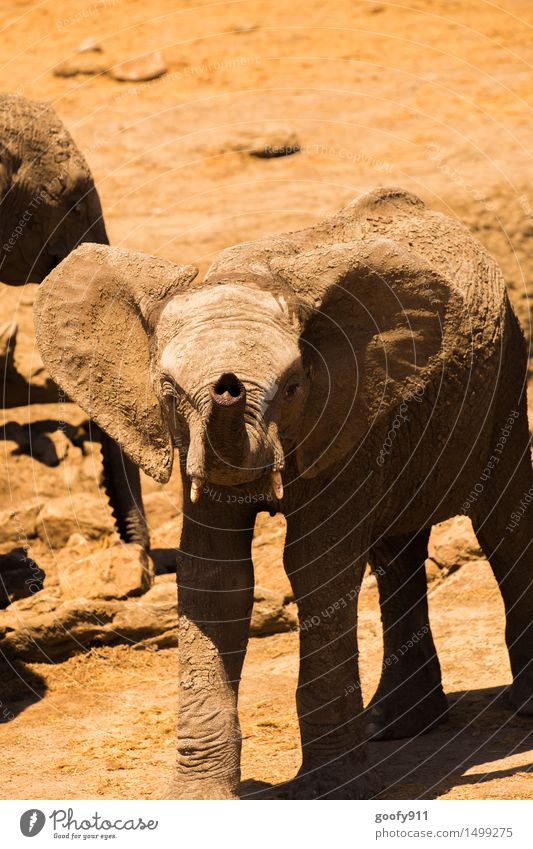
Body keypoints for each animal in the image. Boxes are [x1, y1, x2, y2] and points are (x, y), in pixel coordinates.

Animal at [34, 189, 532, 800]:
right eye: (169, 392)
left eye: (293, 388)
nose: (227, 386)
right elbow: (216, 577)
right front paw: (199, 799)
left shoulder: (347, 416)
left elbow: (315, 564)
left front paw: (333, 791)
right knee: (396, 551)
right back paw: (396, 727)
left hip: (504, 380)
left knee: (505, 528)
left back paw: (518, 710)